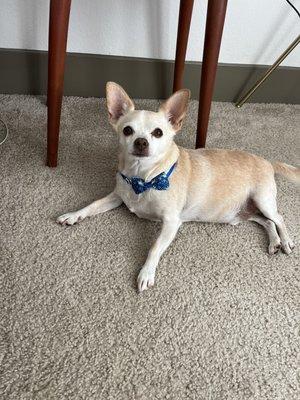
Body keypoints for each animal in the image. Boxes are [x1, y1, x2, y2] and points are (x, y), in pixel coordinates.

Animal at [57, 83, 298, 292]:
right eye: (127, 130)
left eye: (158, 133)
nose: (141, 142)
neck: (144, 179)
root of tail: (267, 161)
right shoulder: (117, 197)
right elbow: (92, 205)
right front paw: (73, 215)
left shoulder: (171, 222)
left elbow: (154, 247)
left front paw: (146, 273)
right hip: (244, 212)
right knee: (266, 222)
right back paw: (274, 242)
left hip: (263, 200)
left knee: (278, 218)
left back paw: (285, 241)